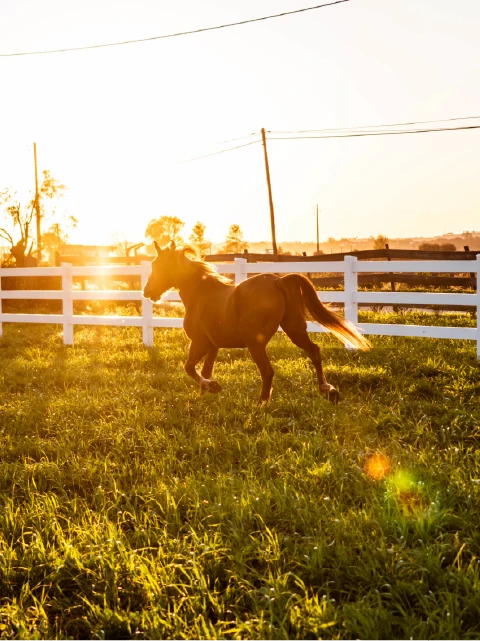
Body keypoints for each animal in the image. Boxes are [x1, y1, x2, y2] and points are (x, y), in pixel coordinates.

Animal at [143, 241, 371, 403]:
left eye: (156, 265)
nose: (147, 291)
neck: (200, 293)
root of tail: (279, 281)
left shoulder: (199, 343)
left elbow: (189, 368)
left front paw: (212, 387)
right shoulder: (213, 346)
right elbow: (204, 371)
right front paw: (206, 393)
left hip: (256, 342)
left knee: (268, 371)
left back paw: (261, 403)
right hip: (294, 329)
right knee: (314, 351)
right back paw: (328, 390)